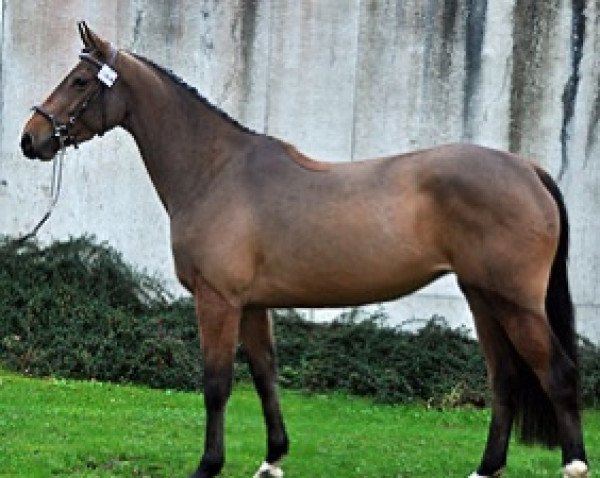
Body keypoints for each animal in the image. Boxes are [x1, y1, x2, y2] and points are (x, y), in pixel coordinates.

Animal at [19, 24, 592, 478]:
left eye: (79, 81)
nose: (31, 138)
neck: (215, 171)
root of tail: (528, 169)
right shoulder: (252, 305)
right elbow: (265, 377)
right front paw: (272, 458)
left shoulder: (217, 301)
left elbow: (216, 383)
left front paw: (208, 466)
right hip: (481, 297)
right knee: (505, 378)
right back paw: (487, 467)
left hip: (515, 302)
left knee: (558, 373)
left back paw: (574, 465)